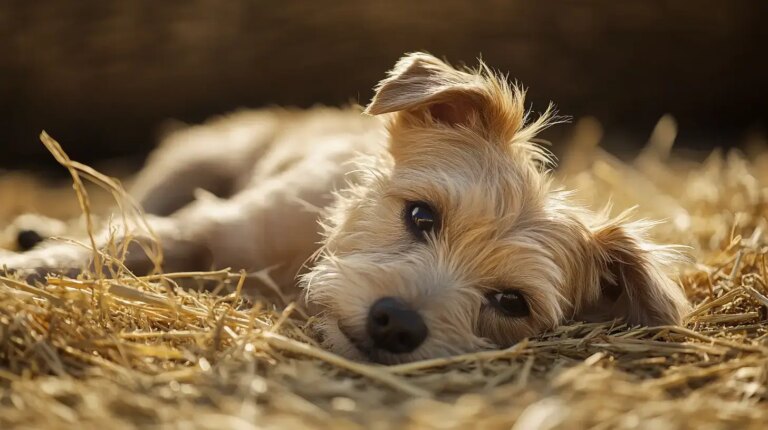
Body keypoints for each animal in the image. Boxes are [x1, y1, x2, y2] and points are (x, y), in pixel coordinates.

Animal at [0, 53, 688, 362]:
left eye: (510, 302)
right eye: (420, 215)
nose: (397, 324)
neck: (302, 264)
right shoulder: (209, 222)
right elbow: (126, 242)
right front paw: (28, 267)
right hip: (187, 164)